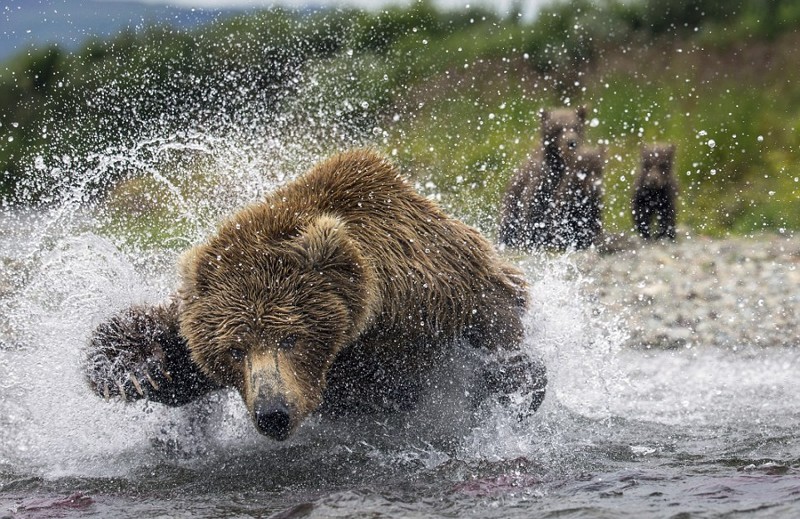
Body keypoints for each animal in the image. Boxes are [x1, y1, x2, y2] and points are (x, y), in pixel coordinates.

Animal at [89, 148, 552, 440]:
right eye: (235, 350)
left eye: (292, 337)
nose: (272, 414)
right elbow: (174, 359)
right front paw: (138, 369)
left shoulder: (438, 294)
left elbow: (505, 349)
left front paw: (506, 389)